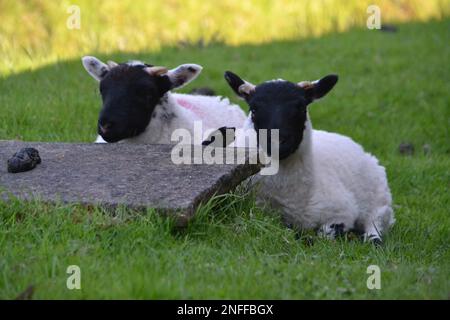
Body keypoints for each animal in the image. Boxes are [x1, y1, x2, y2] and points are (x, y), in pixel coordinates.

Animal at [224, 70, 394, 245]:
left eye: (301, 107)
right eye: (254, 109)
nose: (278, 143)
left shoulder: (342, 212)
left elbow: (325, 235)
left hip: (379, 197)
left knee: (376, 221)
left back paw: (372, 239)